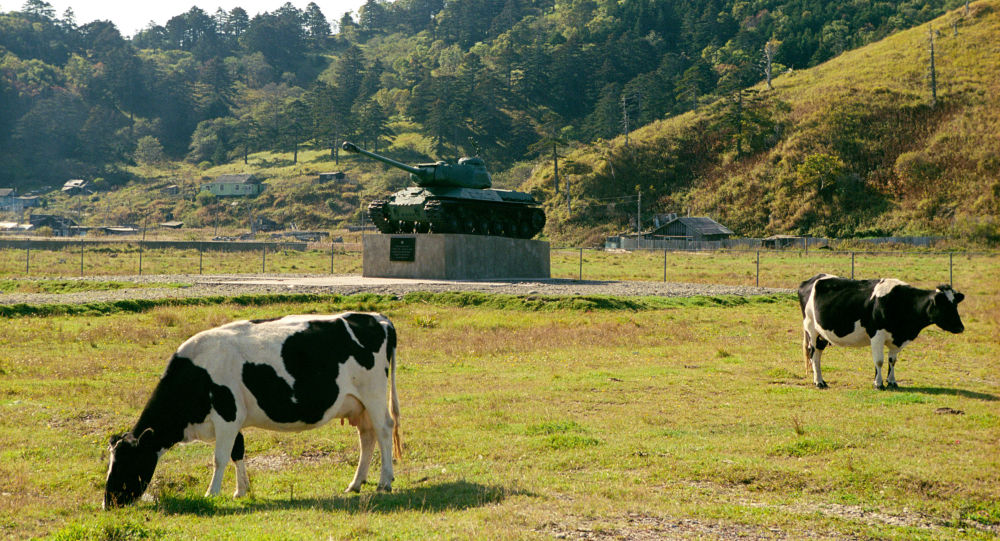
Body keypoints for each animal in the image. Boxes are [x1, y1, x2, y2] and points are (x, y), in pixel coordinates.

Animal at [101, 310, 398, 508]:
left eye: (128, 462)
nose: (108, 503)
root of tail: (377, 317)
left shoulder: (227, 415)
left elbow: (219, 458)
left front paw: (212, 493)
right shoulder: (235, 420)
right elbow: (237, 452)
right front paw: (240, 491)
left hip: (373, 394)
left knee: (384, 430)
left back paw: (385, 481)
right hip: (358, 404)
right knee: (367, 437)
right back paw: (355, 484)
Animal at [796, 274, 960, 388]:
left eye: (955, 304)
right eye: (945, 306)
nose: (961, 327)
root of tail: (811, 280)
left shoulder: (896, 338)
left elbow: (892, 360)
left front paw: (892, 382)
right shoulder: (877, 335)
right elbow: (879, 361)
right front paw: (878, 384)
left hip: (822, 334)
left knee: (818, 355)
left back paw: (821, 380)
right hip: (811, 328)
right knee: (812, 353)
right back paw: (818, 382)